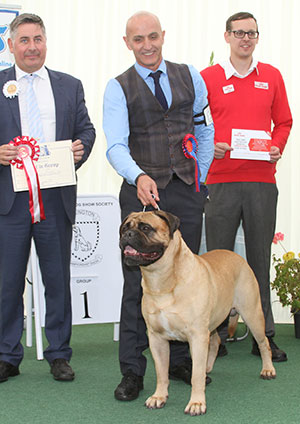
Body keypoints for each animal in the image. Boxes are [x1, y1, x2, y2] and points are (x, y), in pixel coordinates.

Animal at [119, 210, 276, 416]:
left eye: (146, 228)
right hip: (215, 322)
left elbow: (195, 376)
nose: (126, 235)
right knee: (216, 341)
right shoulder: (157, 338)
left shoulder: (197, 336)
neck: (162, 280)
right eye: (124, 228)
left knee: (263, 343)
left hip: (252, 314)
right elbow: (161, 372)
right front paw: (159, 397)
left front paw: (196, 403)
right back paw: (208, 367)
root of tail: (237, 256)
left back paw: (268, 369)